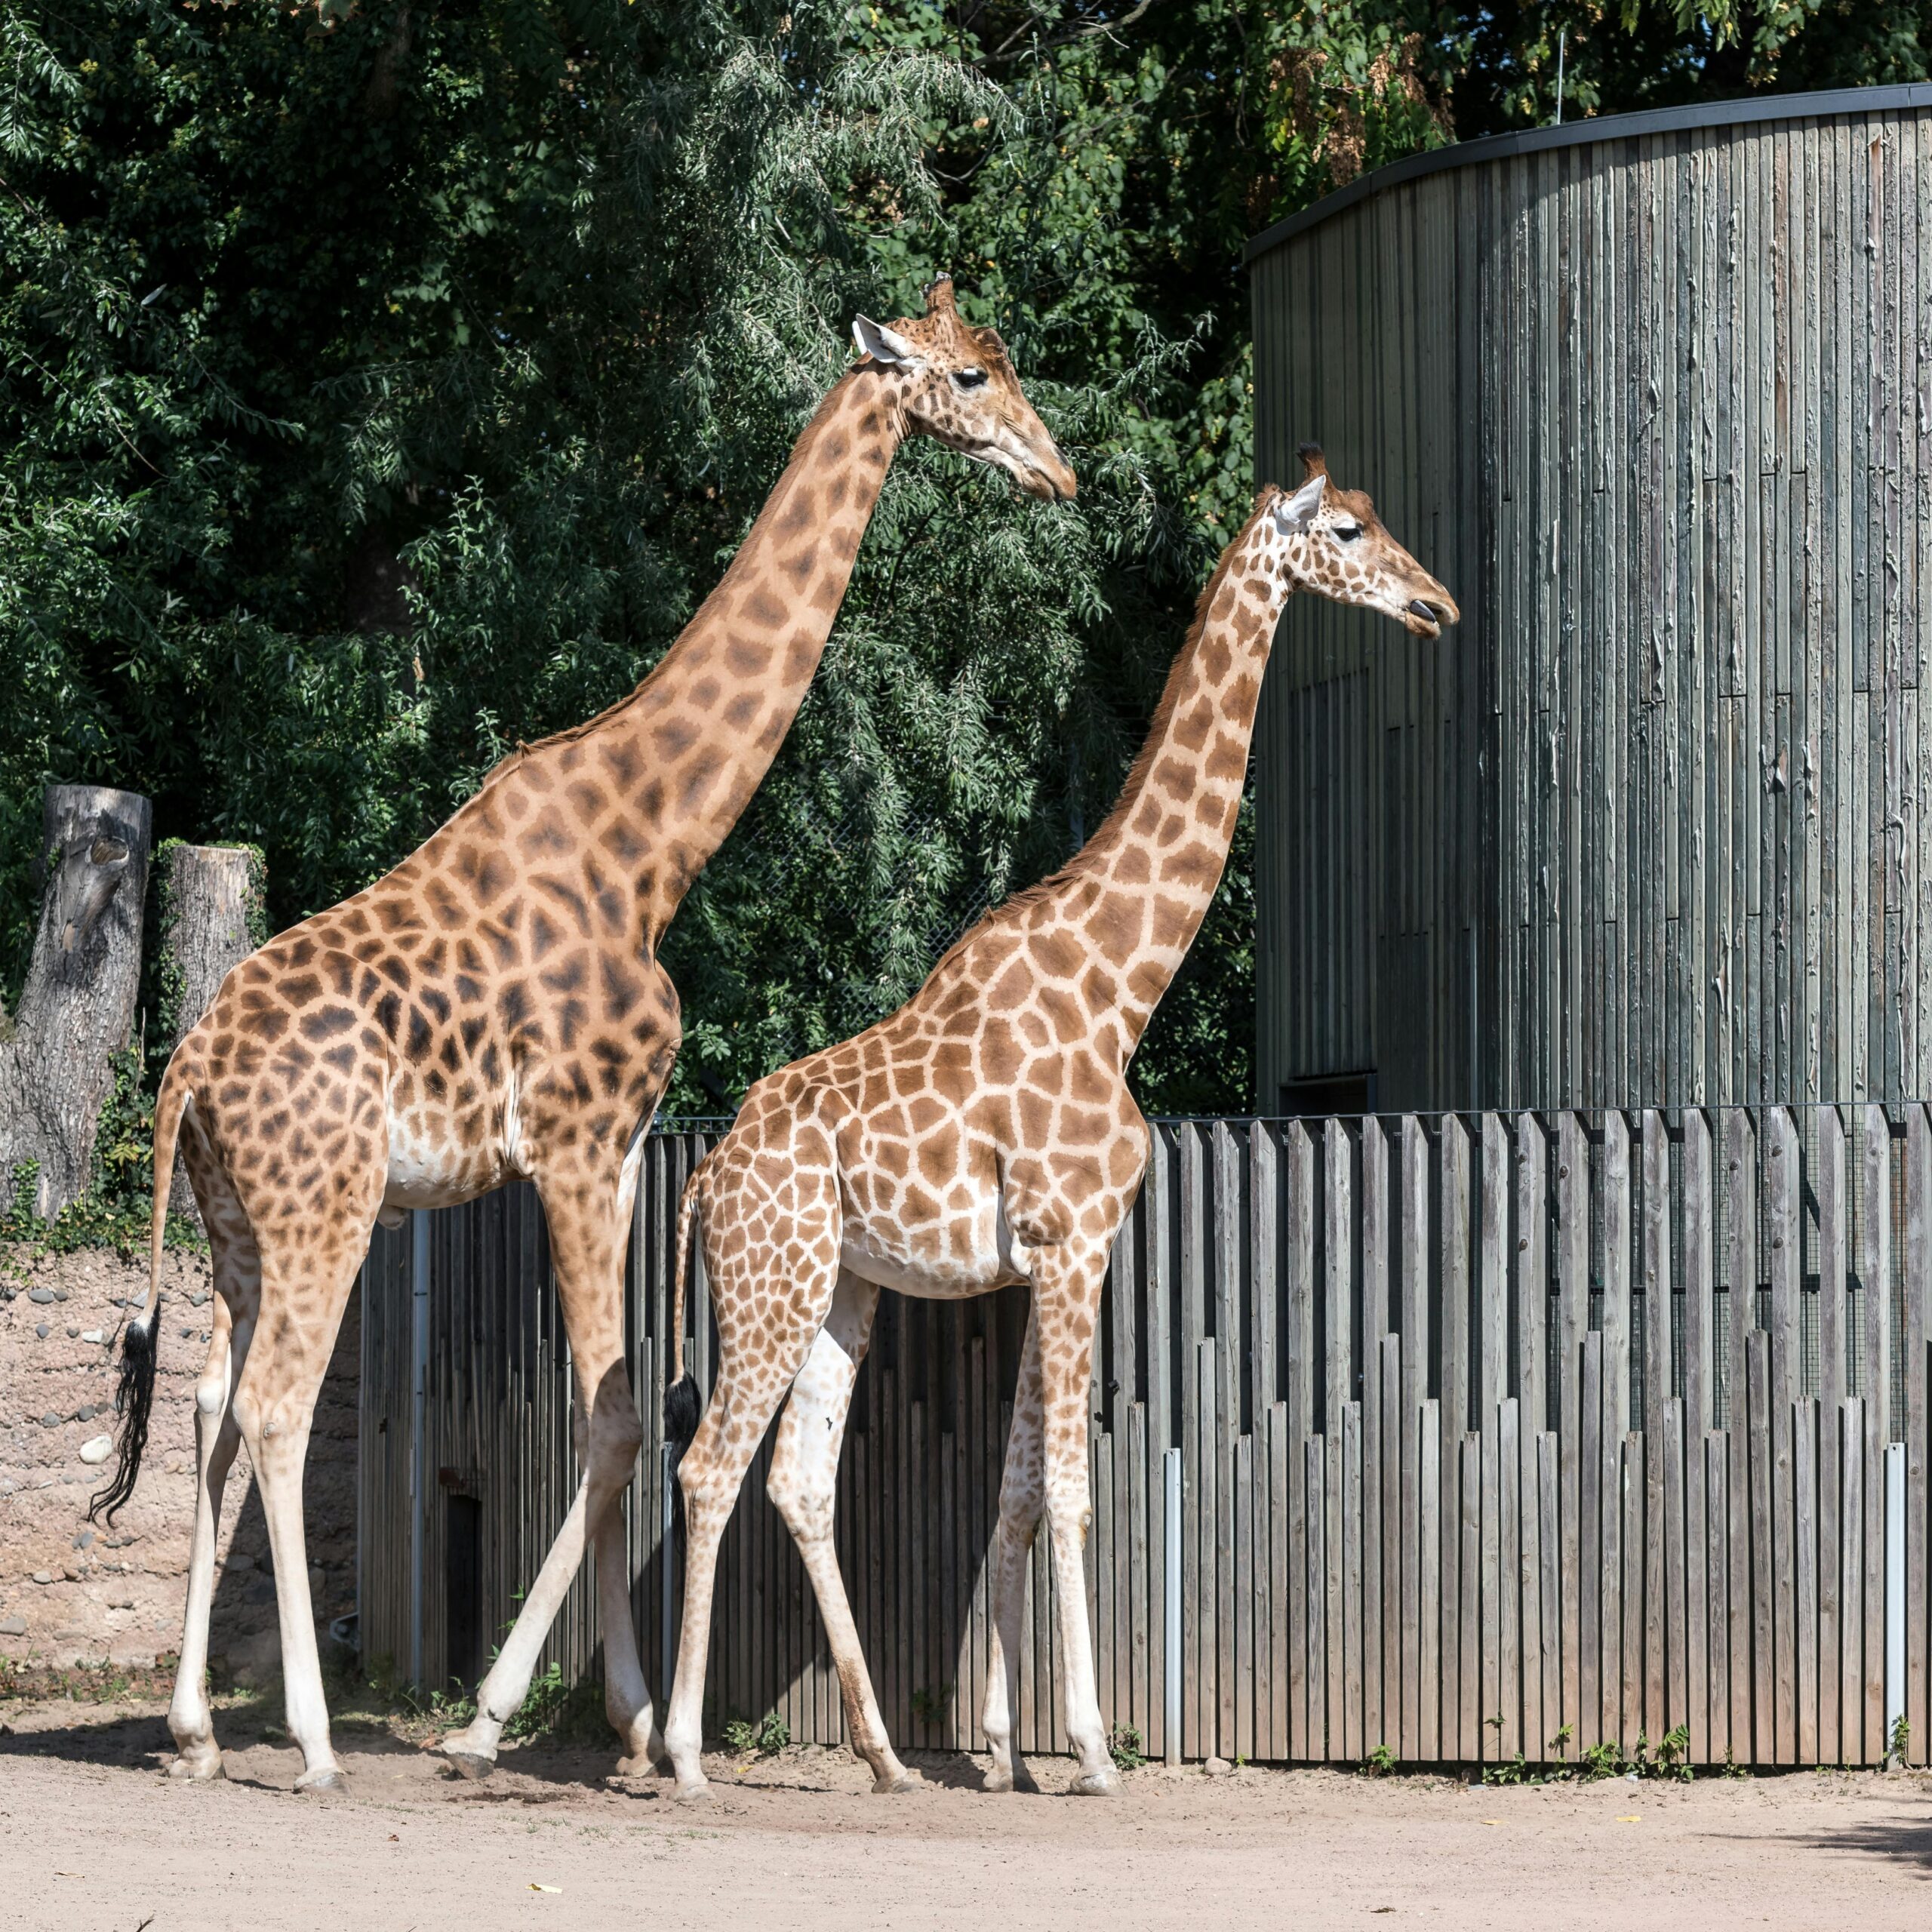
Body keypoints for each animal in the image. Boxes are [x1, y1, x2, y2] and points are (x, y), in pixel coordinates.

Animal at [97, 277, 1076, 1795]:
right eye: (973, 378)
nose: (1059, 472)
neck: (652, 840)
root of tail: (186, 1070)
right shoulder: (573, 1138)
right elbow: (616, 1414)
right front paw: (527, 1716)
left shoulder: (615, 1151)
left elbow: (615, 1404)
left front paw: (610, 1713)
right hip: (328, 1209)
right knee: (273, 1408)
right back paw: (310, 1740)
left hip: (233, 1226)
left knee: (206, 1405)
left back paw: (198, 1728)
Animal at [659, 447, 1456, 1799]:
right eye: (1350, 530)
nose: (1438, 606)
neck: (1117, 983)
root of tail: (704, 1180)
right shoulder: (1075, 1243)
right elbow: (1076, 1492)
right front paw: (1085, 1746)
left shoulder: (1046, 1256)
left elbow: (1020, 1490)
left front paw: (998, 1745)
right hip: (772, 1281)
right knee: (710, 1467)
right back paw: (677, 1751)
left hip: (841, 1286)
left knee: (800, 1480)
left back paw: (887, 1754)